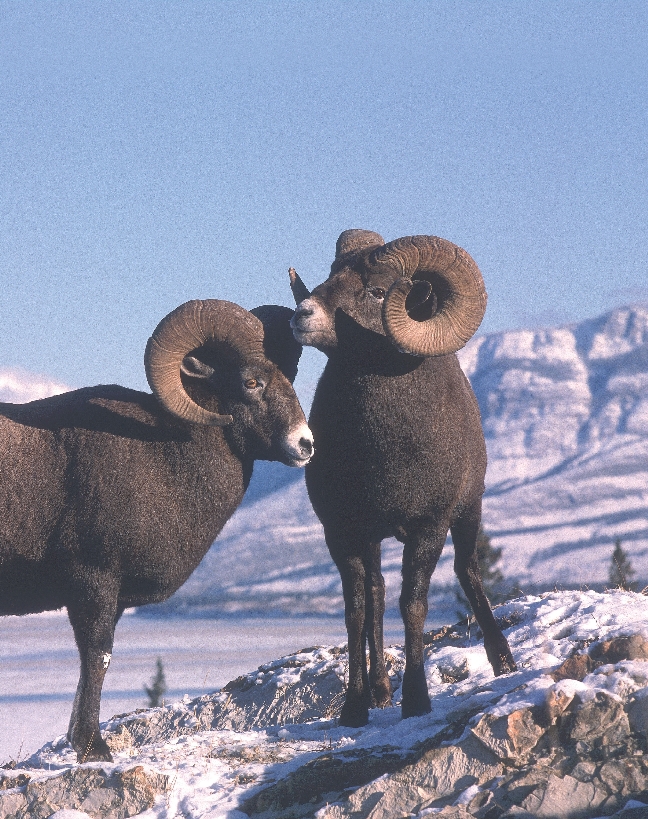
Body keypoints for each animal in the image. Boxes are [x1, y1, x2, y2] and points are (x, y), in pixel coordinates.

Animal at [0, 302, 314, 764]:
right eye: (251, 382)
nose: (305, 444)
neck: (166, 456)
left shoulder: (111, 599)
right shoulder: (93, 583)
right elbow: (97, 656)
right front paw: (94, 750)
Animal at [292, 234, 512, 728]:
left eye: (376, 292)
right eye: (328, 277)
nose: (302, 314)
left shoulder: (428, 528)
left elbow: (413, 606)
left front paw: (416, 701)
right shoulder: (344, 533)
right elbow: (357, 610)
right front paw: (355, 709)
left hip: (468, 514)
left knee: (468, 572)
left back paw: (504, 661)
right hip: (375, 540)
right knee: (375, 595)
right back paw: (379, 690)